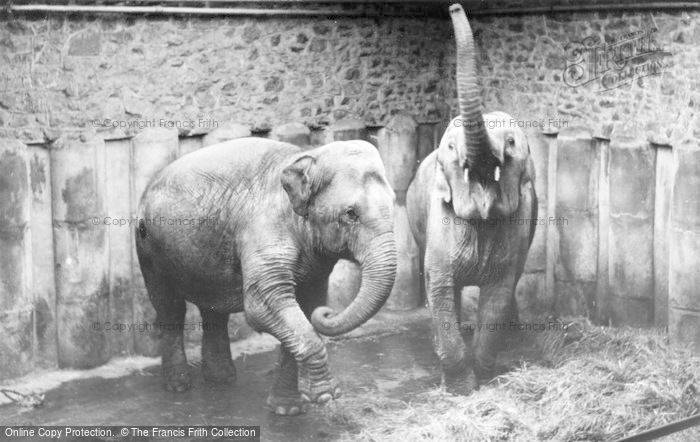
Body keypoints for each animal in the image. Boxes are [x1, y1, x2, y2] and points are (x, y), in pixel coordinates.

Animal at [135, 138, 396, 414]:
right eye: (350, 213)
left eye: (394, 201)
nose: (328, 313)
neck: (306, 155)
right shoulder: (263, 229)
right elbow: (262, 306)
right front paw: (326, 396)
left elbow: (306, 306)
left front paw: (287, 410)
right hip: (150, 250)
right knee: (170, 308)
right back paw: (179, 386)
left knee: (213, 309)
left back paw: (222, 379)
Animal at [404, 2, 536, 390]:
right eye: (450, 146)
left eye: (511, 141)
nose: (454, 6)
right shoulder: (439, 222)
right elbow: (440, 287)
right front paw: (461, 388)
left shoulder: (517, 223)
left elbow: (498, 293)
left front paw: (483, 378)